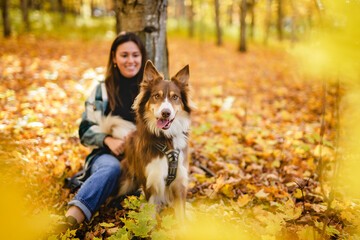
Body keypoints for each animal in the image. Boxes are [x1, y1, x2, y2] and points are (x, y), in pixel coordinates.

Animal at [98, 60, 194, 221]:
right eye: (156, 96)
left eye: (175, 97)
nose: (166, 113)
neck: (166, 140)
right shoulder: (151, 185)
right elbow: (150, 218)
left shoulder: (180, 184)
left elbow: (181, 218)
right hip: (124, 182)